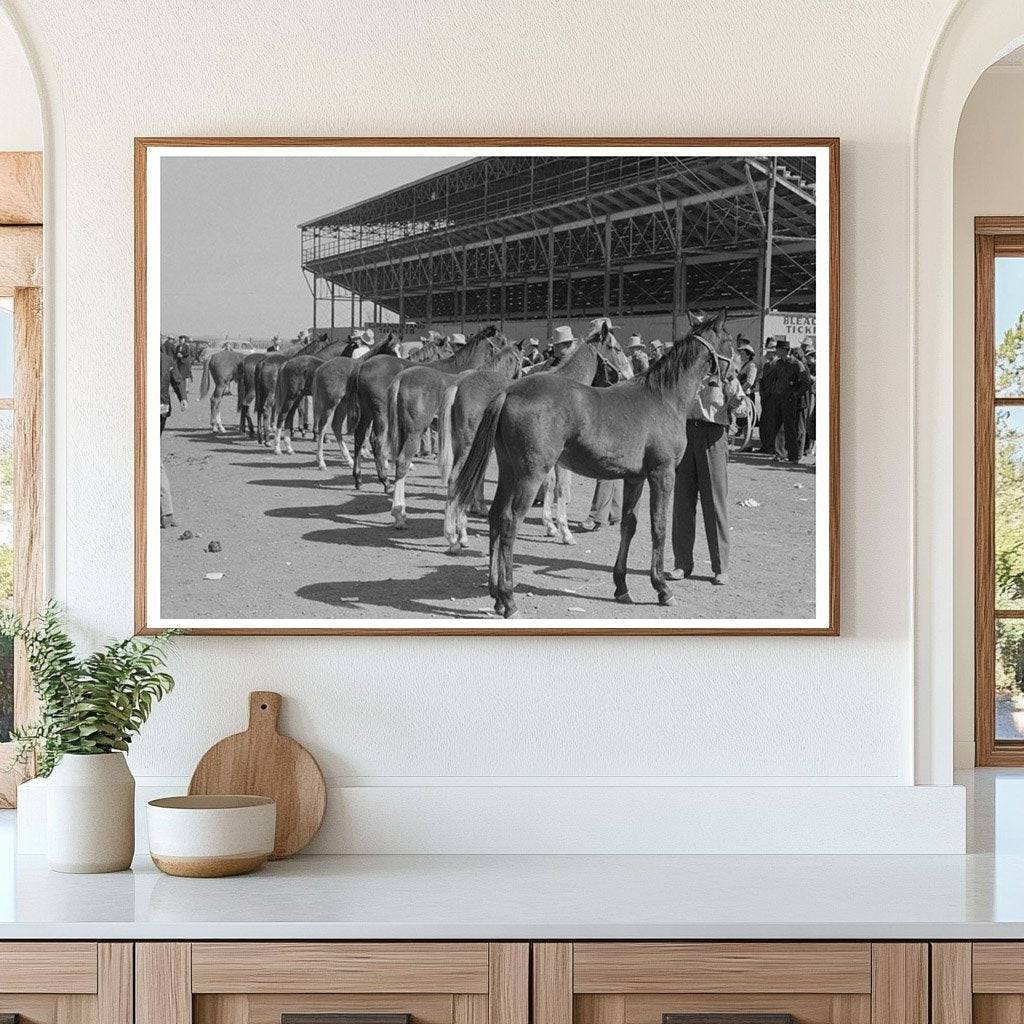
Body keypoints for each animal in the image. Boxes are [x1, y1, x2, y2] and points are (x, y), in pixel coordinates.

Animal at [348, 323, 499, 491]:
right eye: (494, 344)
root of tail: (363, 366)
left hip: (367, 411)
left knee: (359, 435)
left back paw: (358, 478)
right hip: (381, 413)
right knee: (377, 440)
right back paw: (386, 482)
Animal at [436, 327, 618, 552]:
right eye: (614, 348)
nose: (624, 375)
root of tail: (459, 384)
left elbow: (549, 484)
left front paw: (550, 526)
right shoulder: (561, 460)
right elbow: (561, 488)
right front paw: (565, 532)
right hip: (469, 447)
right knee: (457, 480)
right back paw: (454, 536)